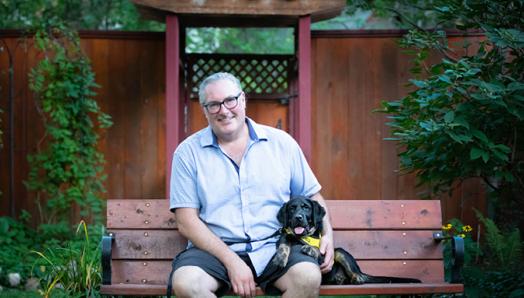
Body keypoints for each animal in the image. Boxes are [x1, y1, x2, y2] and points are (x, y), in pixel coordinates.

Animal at [272, 196, 420, 284]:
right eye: (292, 208)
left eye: (306, 207)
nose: (298, 217)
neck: (302, 237)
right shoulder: (285, 235)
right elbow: (284, 241)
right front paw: (280, 258)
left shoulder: (325, 254)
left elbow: (319, 250)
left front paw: (310, 248)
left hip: (340, 253)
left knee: (358, 276)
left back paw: (356, 279)